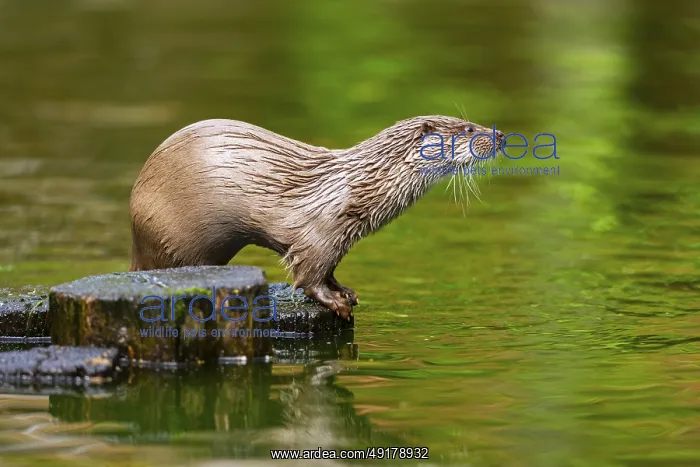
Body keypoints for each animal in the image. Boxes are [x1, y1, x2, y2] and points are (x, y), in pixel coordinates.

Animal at [129, 116, 504, 319]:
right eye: (469, 128)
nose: (499, 135)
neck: (360, 185)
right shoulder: (320, 233)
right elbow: (309, 277)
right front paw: (336, 303)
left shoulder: (340, 239)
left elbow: (329, 270)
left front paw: (346, 292)